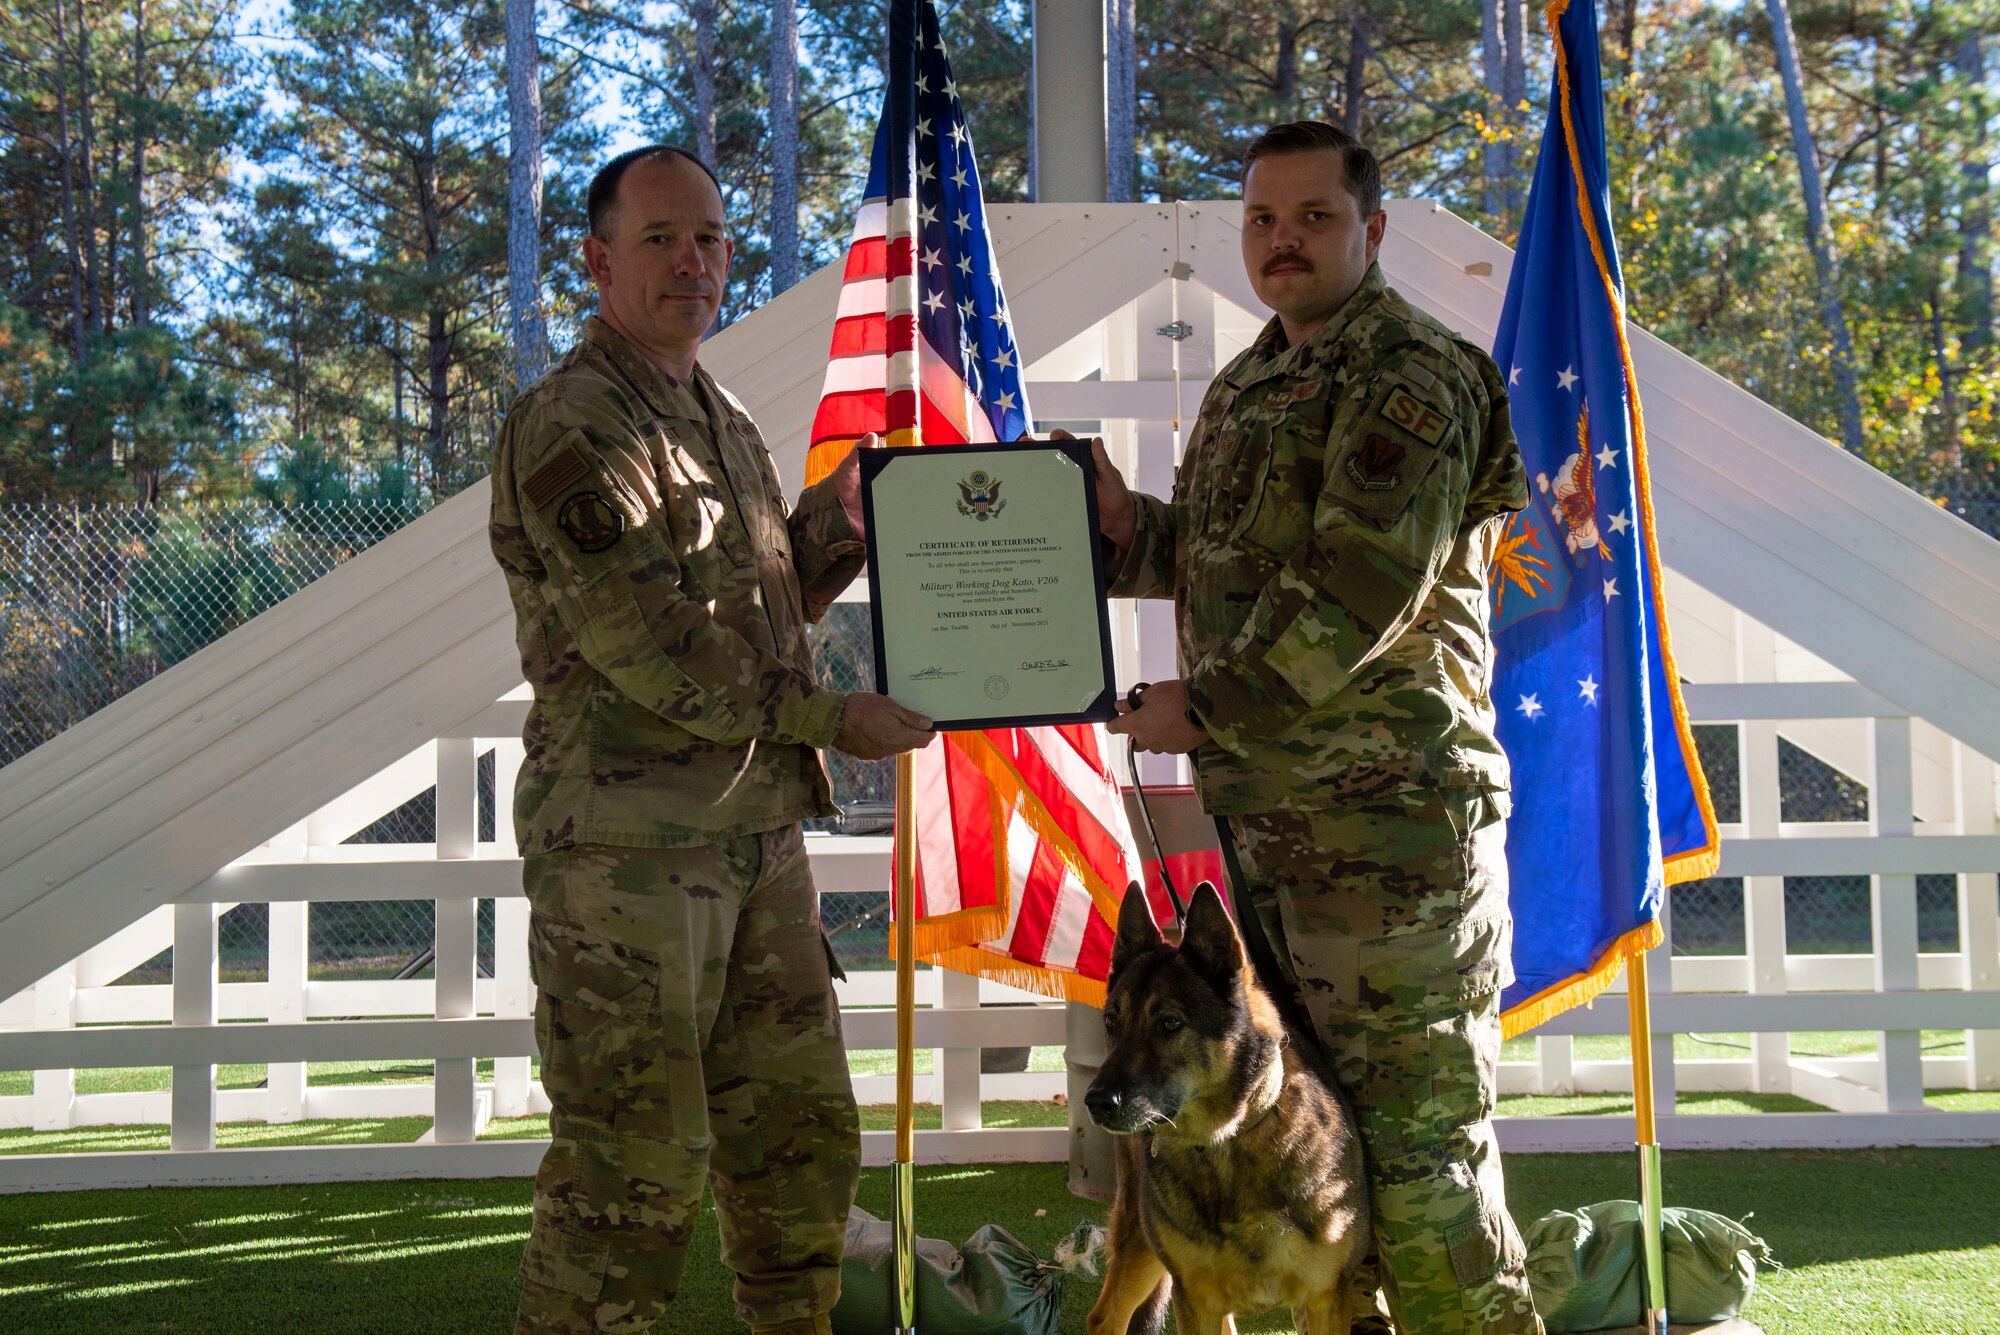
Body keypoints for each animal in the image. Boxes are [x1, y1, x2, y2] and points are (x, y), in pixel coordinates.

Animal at [1080, 875, 1376, 1335]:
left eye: (1170, 1024)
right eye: (1112, 1022)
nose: (1095, 1102)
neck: (1228, 1144)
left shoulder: (1326, 1301)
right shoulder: (1193, 1300)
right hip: (1141, 1246)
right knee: (1105, 1319)